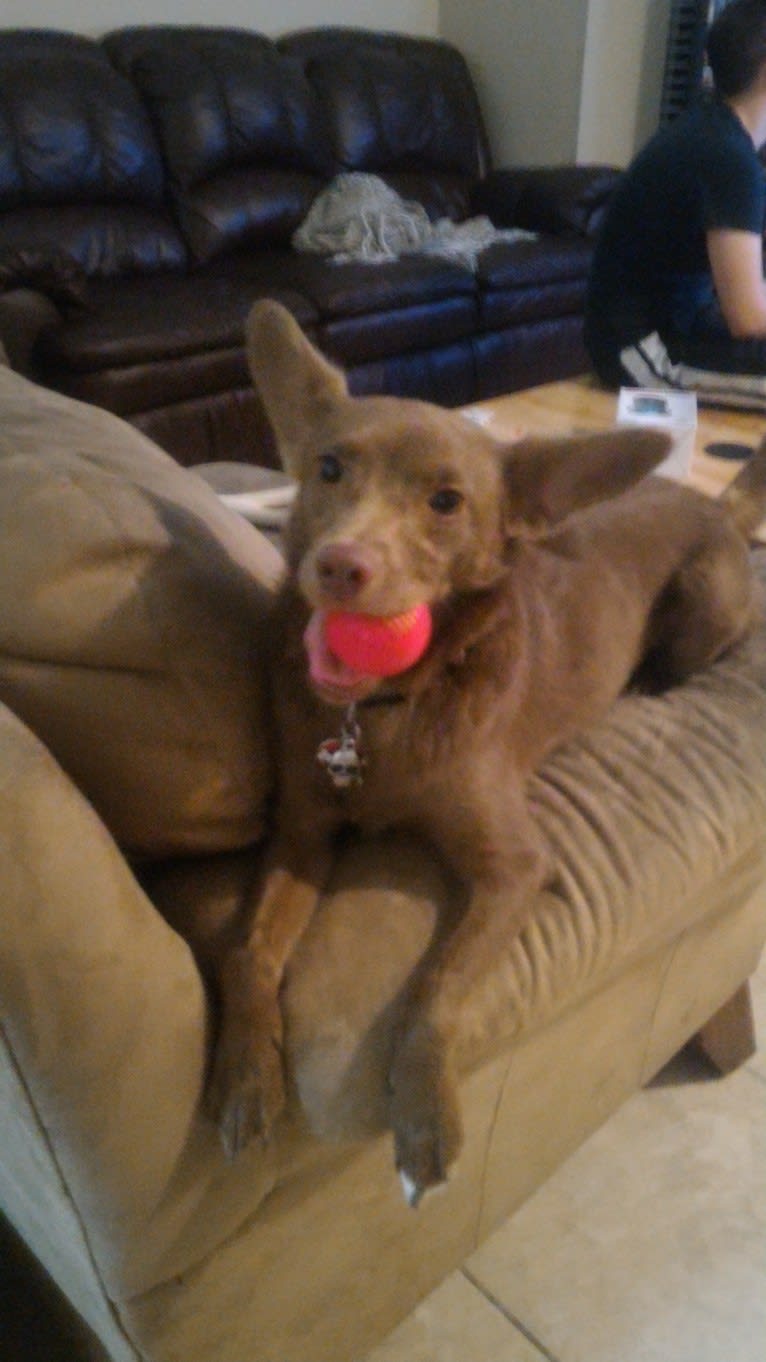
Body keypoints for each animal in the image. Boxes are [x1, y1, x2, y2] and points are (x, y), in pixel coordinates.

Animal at [204, 301, 763, 1204]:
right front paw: (247, 1074)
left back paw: (648, 679)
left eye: (445, 501)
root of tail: (716, 508)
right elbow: (249, 951)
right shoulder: (300, 834)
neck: (382, 711)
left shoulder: (517, 867)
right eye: (329, 468)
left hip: (707, 604)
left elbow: (435, 989)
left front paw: (425, 1114)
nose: (340, 565)